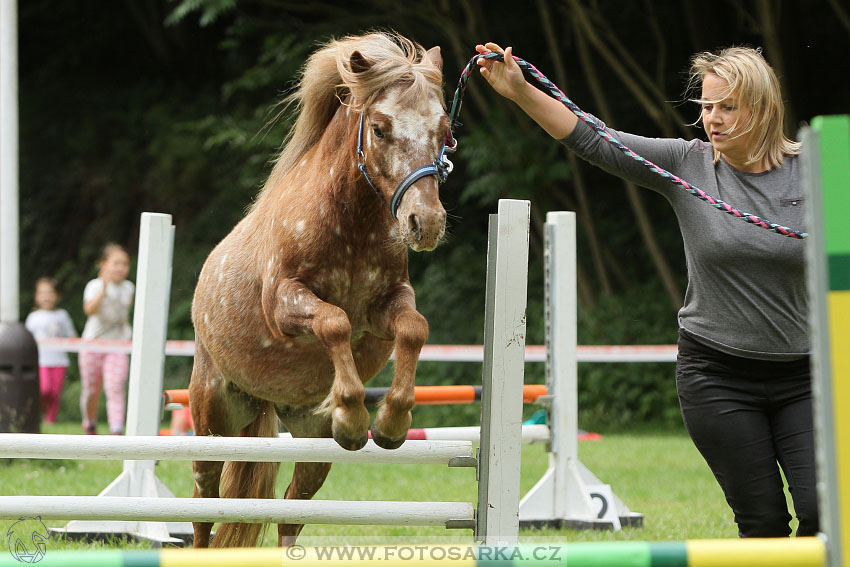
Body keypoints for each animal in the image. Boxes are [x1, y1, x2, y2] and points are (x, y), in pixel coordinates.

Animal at [187, 33, 450, 548]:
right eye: (381, 129)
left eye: (444, 129)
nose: (425, 223)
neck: (351, 223)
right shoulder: (285, 305)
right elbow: (334, 321)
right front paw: (351, 412)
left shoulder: (388, 304)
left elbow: (413, 328)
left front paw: (388, 423)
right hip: (213, 419)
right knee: (204, 505)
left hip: (311, 441)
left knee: (292, 509)